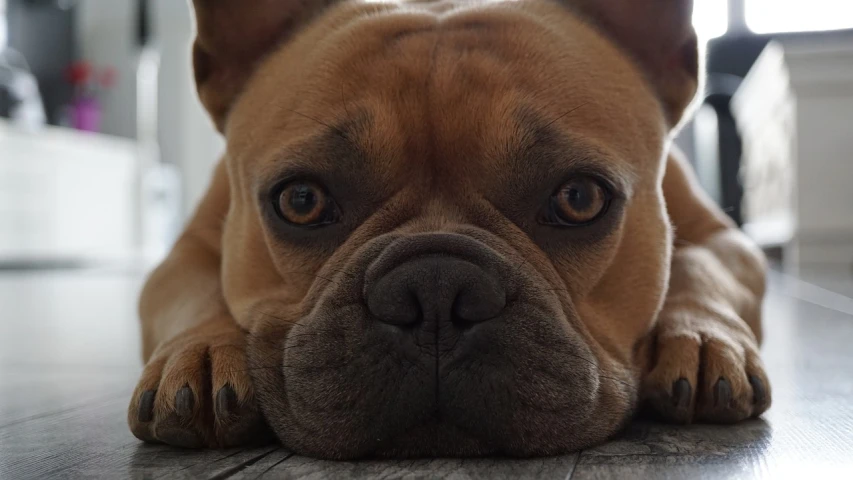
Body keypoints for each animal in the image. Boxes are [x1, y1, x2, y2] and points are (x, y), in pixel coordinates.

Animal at [126, 0, 772, 458]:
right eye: (302, 200)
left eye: (580, 198)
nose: (435, 289)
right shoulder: (182, 254)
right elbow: (191, 292)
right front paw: (200, 352)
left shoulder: (724, 241)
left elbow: (702, 267)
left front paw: (703, 338)